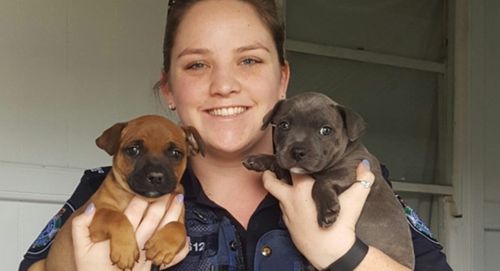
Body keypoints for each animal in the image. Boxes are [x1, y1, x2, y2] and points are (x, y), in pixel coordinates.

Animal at [39, 115, 204, 271]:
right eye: (133, 150)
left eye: (176, 153)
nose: (156, 176)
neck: (146, 200)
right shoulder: (95, 213)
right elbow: (115, 216)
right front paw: (125, 251)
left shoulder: (179, 220)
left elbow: (179, 228)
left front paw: (162, 247)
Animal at [242, 92, 414, 270]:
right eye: (284, 125)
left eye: (326, 130)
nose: (297, 151)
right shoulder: (289, 176)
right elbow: (279, 161)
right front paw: (258, 160)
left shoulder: (350, 171)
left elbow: (322, 182)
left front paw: (327, 211)